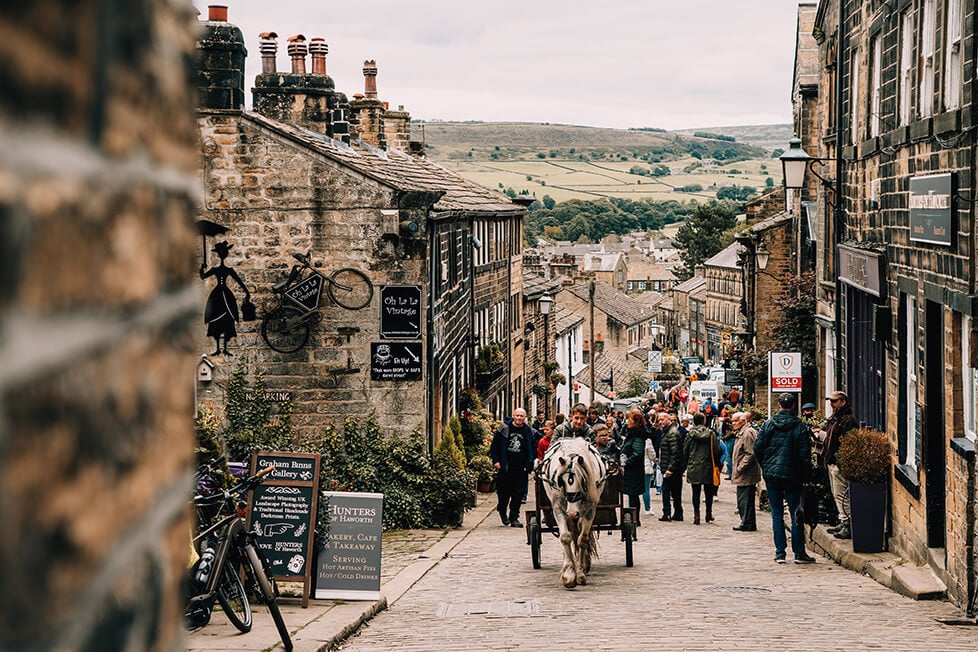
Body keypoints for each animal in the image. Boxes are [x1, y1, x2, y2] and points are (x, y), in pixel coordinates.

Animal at [536, 438, 608, 584]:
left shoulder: (590, 510)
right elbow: (565, 537)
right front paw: (568, 573)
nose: (572, 513)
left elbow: (582, 539)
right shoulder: (558, 508)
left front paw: (580, 573)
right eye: (561, 481)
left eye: (582, 480)